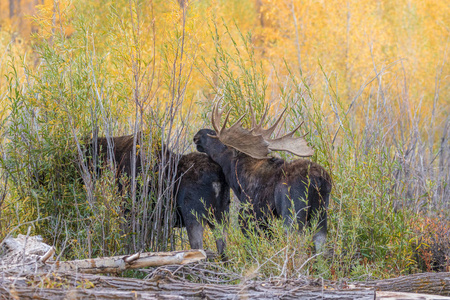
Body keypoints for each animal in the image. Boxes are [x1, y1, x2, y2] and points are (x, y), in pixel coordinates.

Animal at [86, 134, 230, 258]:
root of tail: (218, 180)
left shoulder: (128, 212)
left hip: (194, 215)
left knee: (198, 248)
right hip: (221, 215)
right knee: (223, 249)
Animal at [192, 102, 330, 251]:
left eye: (219, 141)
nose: (198, 135)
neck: (239, 181)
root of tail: (319, 181)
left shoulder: (250, 218)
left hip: (292, 214)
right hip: (321, 215)